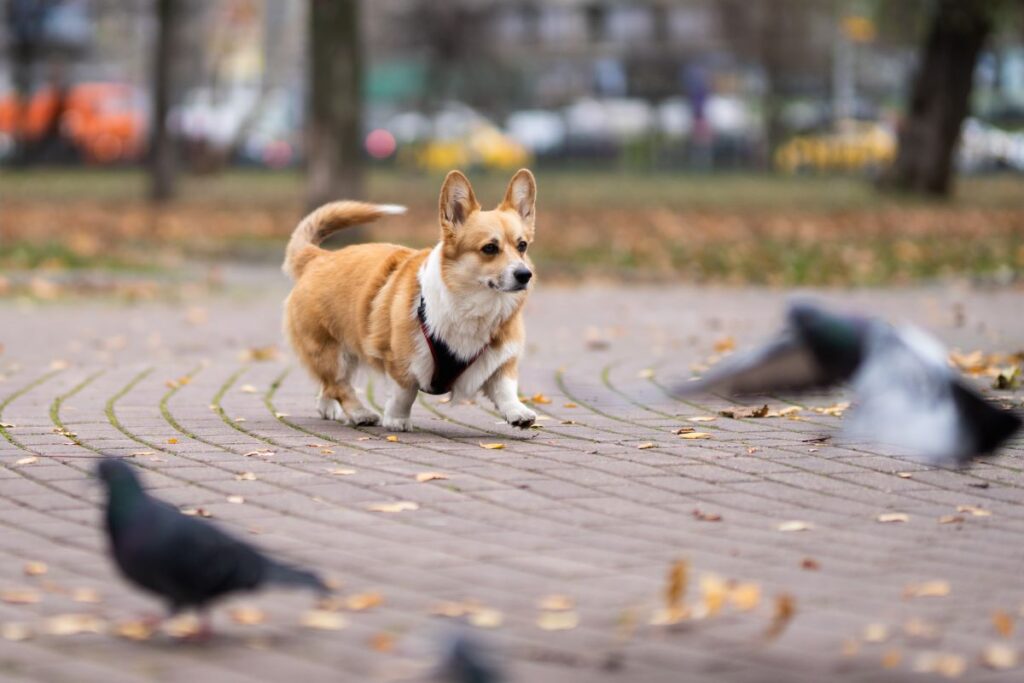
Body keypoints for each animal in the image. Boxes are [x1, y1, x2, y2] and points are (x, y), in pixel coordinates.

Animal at [280, 167, 536, 430]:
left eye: (522, 246)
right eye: (489, 248)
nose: (525, 275)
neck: (475, 306)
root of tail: (317, 257)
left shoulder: (500, 360)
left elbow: (506, 389)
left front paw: (518, 412)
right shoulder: (400, 363)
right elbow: (404, 394)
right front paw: (397, 420)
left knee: (329, 387)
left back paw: (329, 409)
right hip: (331, 353)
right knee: (339, 385)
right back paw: (361, 413)